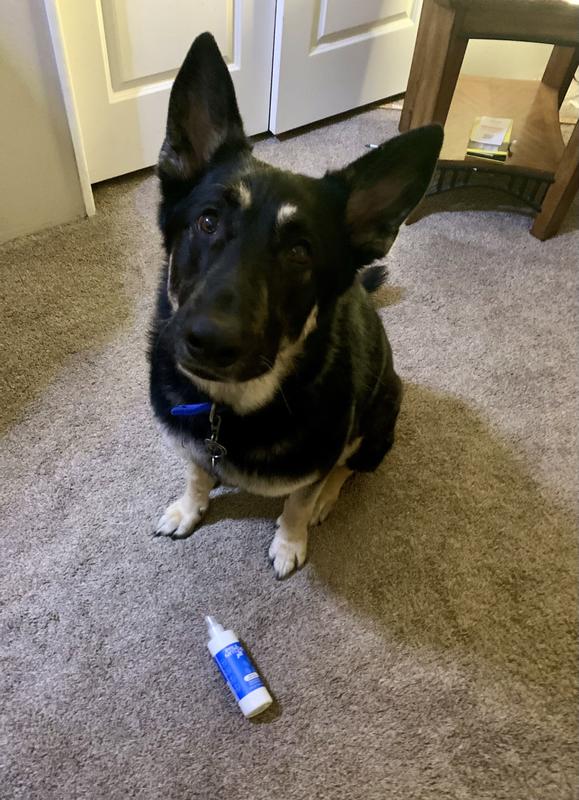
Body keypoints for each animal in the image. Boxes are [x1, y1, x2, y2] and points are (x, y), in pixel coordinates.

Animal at [148, 33, 442, 578]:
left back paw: (328, 498)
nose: (209, 340)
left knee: (349, 466)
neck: (230, 409)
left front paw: (290, 539)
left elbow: (299, 500)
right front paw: (190, 506)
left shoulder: (321, 454)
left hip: (379, 417)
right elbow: (196, 471)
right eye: (207, 221)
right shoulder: (194, 445)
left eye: (300, 252)